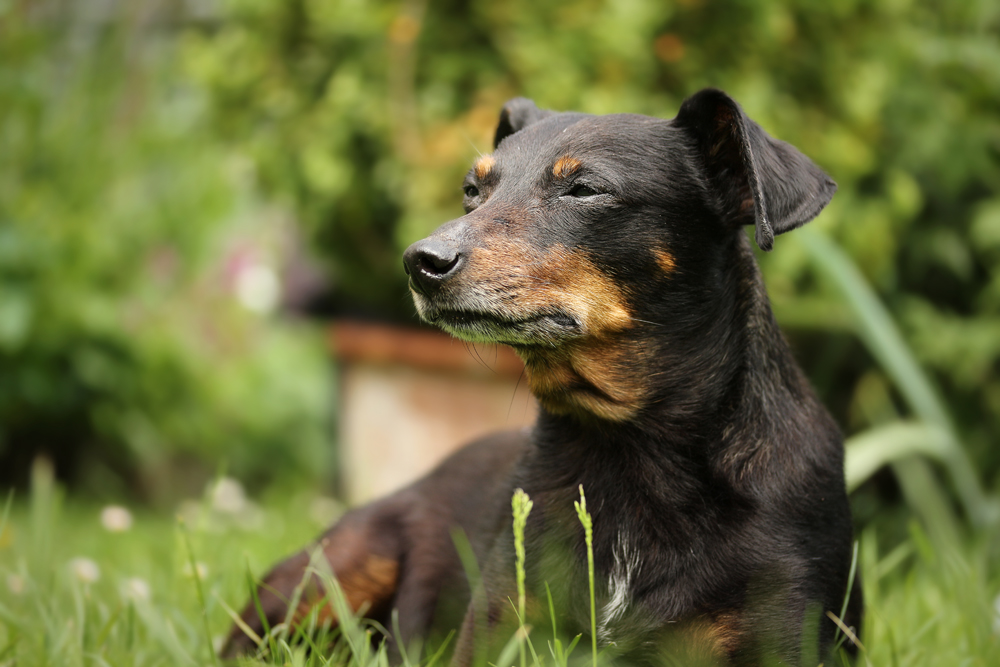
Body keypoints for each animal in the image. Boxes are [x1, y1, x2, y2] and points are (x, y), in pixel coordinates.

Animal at [223, 88, 864, 667]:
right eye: (472, 191)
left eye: (584, 189)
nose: (420, 262)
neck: (626, 447)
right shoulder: (500, 630)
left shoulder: (784, 631)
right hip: (335, 569)